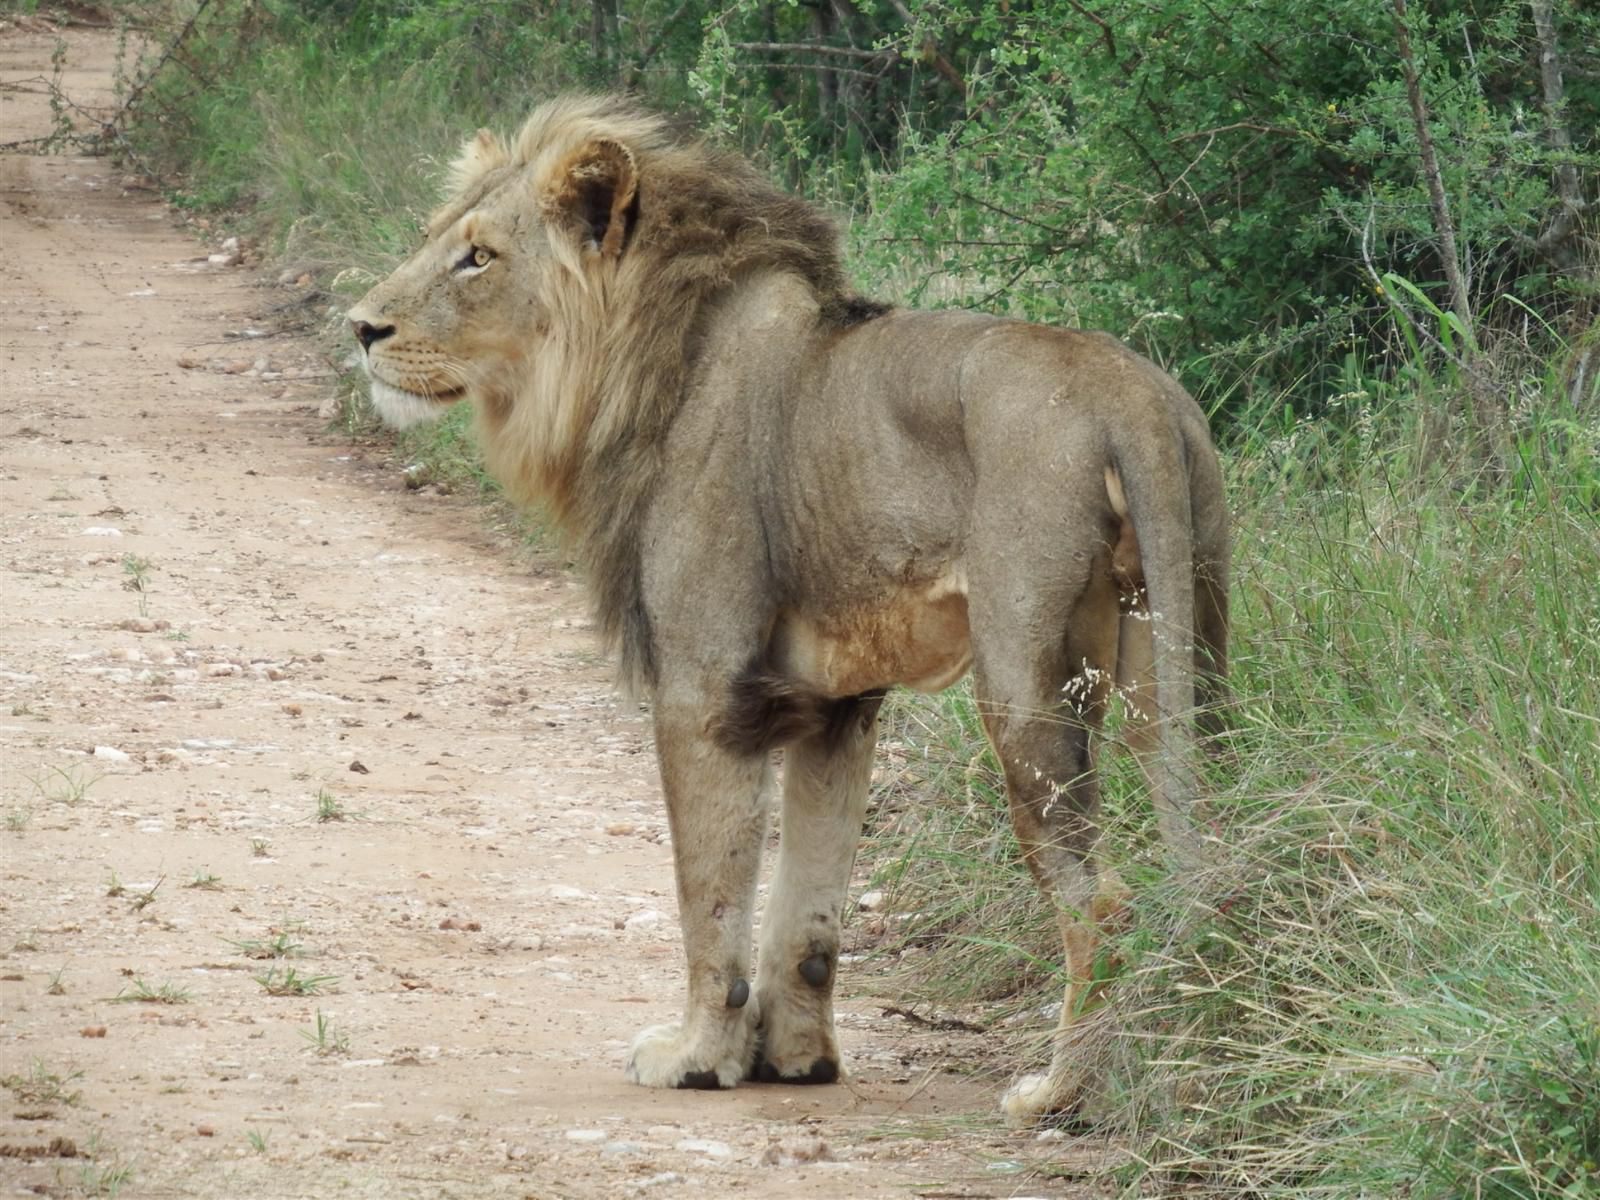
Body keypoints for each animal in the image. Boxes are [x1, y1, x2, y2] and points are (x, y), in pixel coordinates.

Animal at [347, 96, 1222, 1126]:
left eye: (478, 257)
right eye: (435, 239)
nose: (360, 327)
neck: (638, 362)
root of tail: (1132, 396)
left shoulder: (702, 686)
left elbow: (711, 897)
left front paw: (695, 1056)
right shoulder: (835, 704)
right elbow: (808, 909)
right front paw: (796, 1060)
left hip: (1027, 681)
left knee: (1099, 898)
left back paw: (1062, 1090)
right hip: (1186, 656)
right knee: (1218, 847)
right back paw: (1192, 1070)